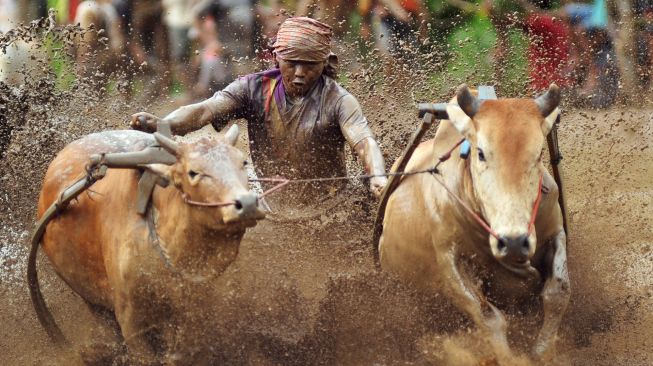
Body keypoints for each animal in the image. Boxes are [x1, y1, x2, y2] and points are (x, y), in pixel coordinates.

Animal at [33, 126, 264, 364]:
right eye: (193, 172)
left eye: (243, 162)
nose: (247, 203)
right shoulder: (131, 321)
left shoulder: (186, 318)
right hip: (92, 302)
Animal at [380, 86, 568, 364]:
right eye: (481, 153)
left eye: (539, 154)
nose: (513, 242)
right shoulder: (448, 258)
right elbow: (487, 316)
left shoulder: (555, 233)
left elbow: (558, 293)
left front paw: (543, 352)